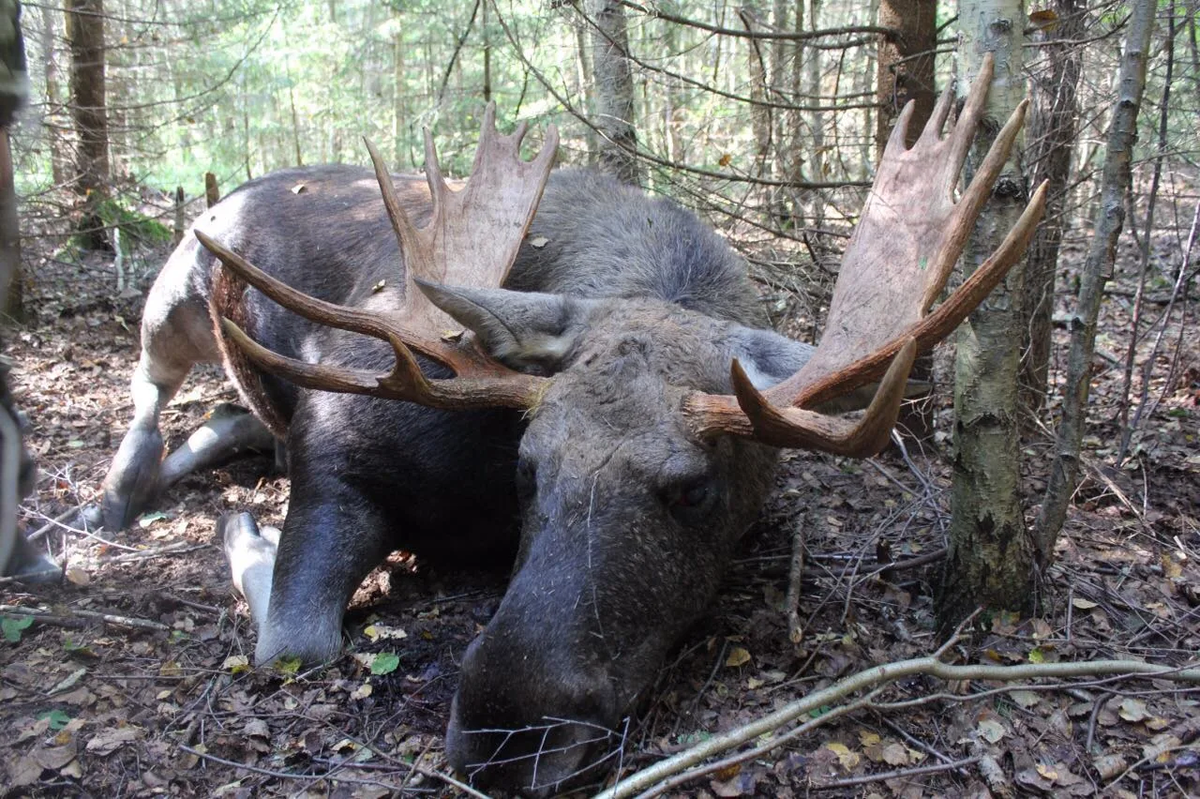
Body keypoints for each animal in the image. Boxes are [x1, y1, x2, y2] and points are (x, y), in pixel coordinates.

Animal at [98, 59, 1046, 791]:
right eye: (528, 462)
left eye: (693, 488)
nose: (505, 733)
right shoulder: (335, 450)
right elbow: (294, 640)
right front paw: (245, 534)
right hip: (173, 297)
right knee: (151, 388)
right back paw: (108, 499)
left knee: (227, 413)